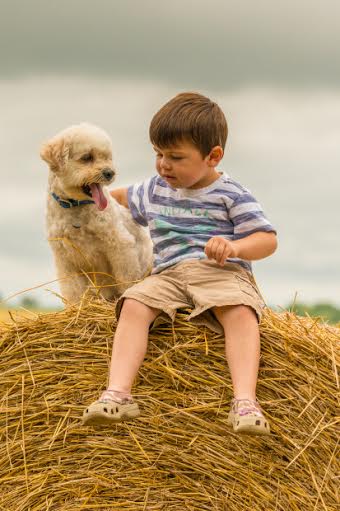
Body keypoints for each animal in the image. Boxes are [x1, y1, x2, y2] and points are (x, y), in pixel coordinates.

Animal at [39, 123, 153, 304]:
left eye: (107, 157)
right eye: (87, 157)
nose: (110, 173)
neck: (75, 206)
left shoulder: (120, 245)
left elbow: (126, 279)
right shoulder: (66, 260)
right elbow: (73, 291)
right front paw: (75, 307)